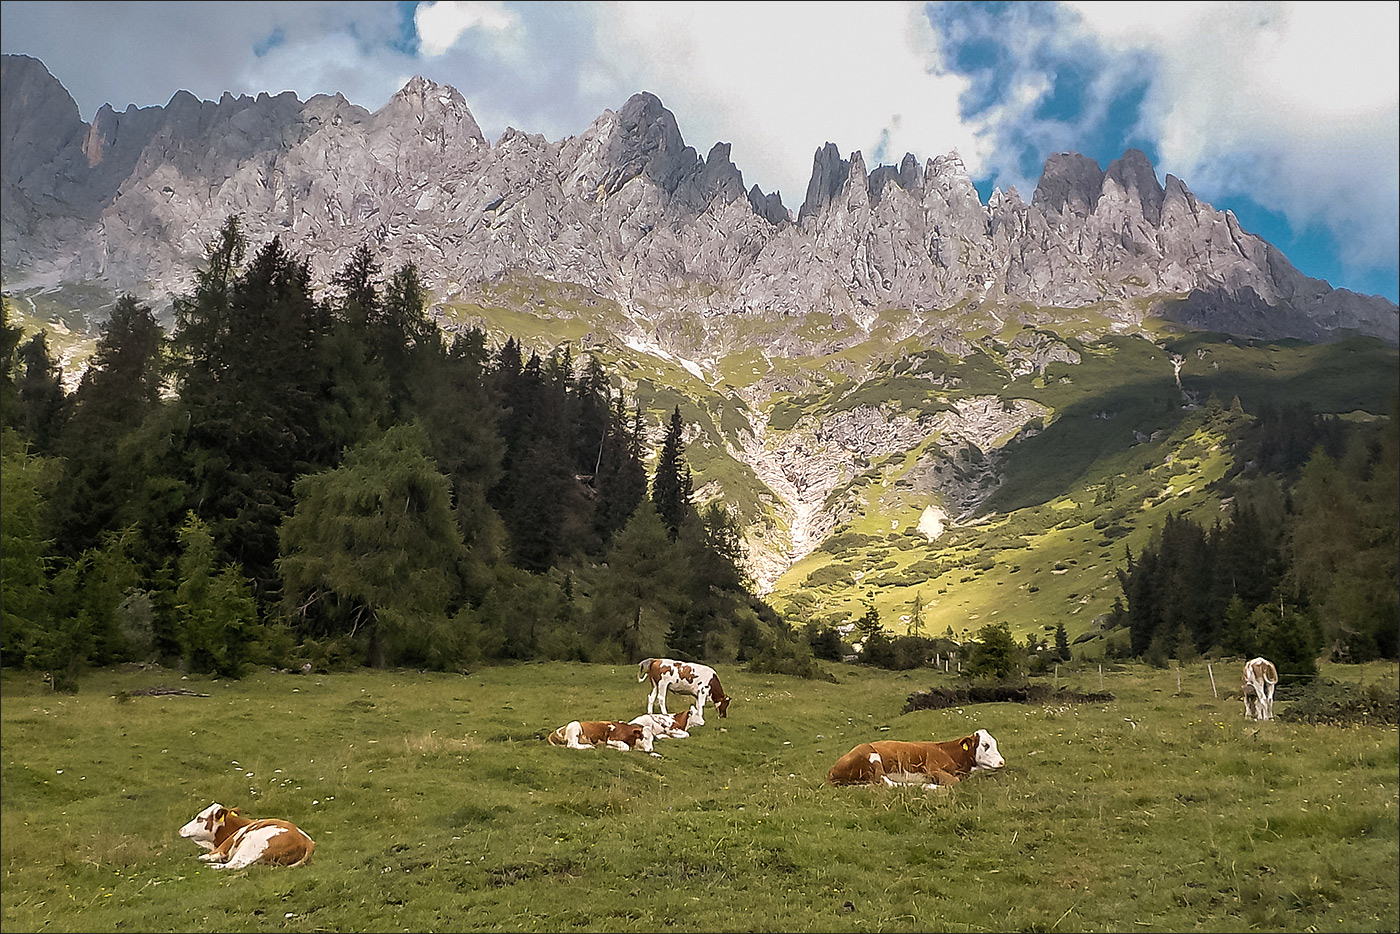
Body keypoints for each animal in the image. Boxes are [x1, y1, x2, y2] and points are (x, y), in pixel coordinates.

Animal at [177, 806, 315, 868]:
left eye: (200, 818)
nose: (181, 830)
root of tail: (307, 841)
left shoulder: (222, 849)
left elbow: (201, 857)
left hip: (250, 849)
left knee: (234, 865)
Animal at [817, 728, 1008, 789]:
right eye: (985, 745)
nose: (1002, 762)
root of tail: (831, 771)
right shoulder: (933, 768)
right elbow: (954, 782)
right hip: (870, 753)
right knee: (887, 783)